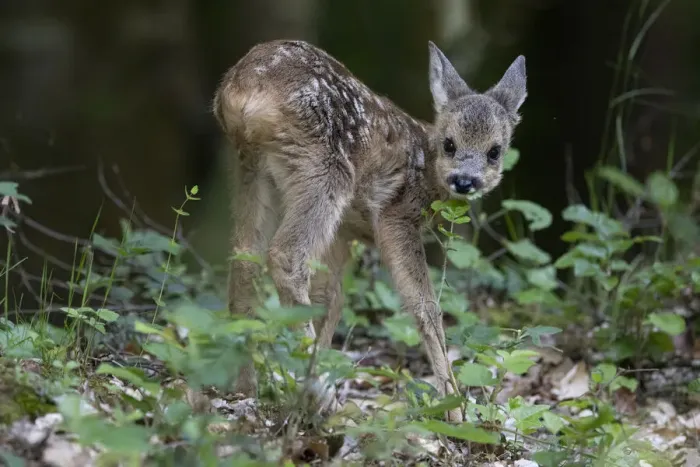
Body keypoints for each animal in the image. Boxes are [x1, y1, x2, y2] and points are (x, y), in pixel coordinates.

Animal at [213, 39, 527, 422]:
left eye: (495, 151)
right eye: (449, 144)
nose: (465, 180)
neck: (426, 167)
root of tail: (244, 86)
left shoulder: (345, 234)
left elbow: (330, 299)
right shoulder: (396, 216)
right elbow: (426, 305)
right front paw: (455, 409)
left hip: (250, 167)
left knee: (245, 258)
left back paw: (250, 388)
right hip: (325, 168)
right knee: (285, 255)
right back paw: (321, 396)